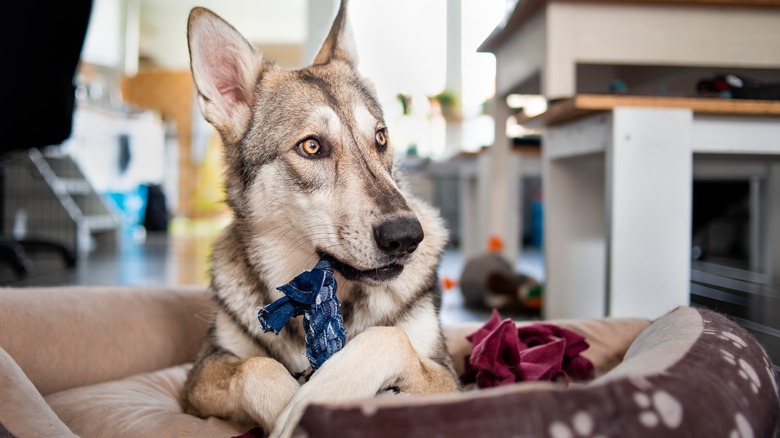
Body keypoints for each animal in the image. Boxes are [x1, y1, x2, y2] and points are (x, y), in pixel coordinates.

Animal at [181, 1, 464, 436]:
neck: (310, 295)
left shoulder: (448, 377)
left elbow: (387, 338)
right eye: (311, 146)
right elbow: (256, 367)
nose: (406, 236)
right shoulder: (202, 371)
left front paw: (319, 396)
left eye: (381, 138)